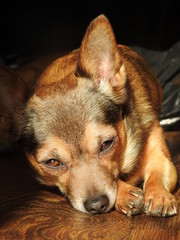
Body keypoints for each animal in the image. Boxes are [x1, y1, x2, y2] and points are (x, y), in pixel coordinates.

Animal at [10, 15, 177, 218]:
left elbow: (157, 174)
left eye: (107, 144)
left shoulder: (162, 159)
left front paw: (159, 195)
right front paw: (125, 193)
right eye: (53, 162)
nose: (97, 204)